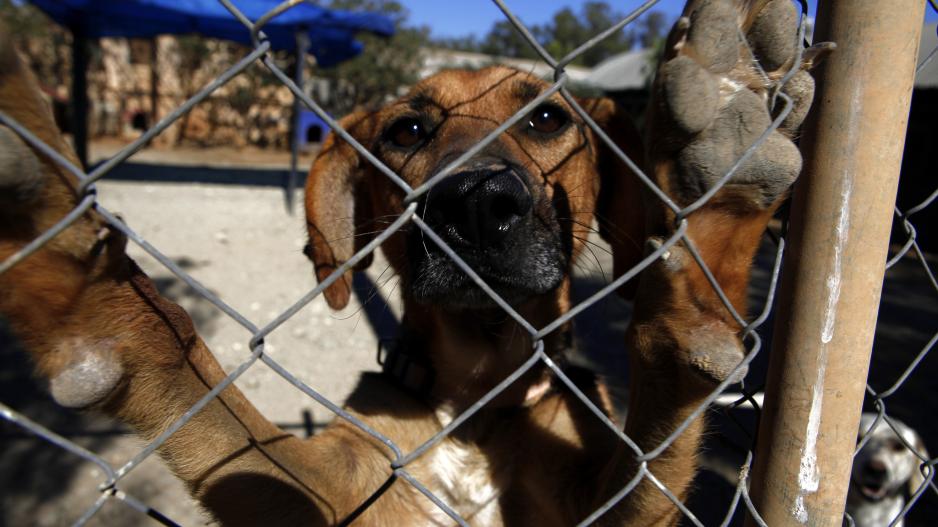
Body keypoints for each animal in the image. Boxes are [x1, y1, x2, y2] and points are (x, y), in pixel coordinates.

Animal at [0, 2, 816, 524]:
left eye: (549, 117)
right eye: (407, 131)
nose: (478, 202)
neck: (477, 407)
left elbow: (661, 442)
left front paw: (715, 212)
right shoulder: (327, 488)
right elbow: (213, 408)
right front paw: (83, 285)